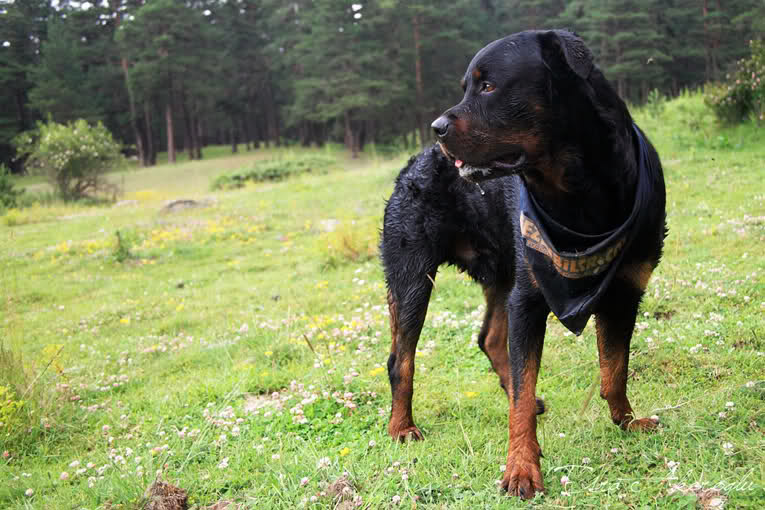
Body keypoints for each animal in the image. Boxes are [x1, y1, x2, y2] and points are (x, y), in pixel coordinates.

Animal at [380, 29, 666, 499]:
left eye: (489, 86)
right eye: (467, 87)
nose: (437, 128)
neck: (579, 196)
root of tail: (412, 162)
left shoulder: (626, 290)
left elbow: (615, 368)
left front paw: (625, 421)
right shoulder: (530, 298)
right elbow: (523, 389)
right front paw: (521, 468)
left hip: (503, 271)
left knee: (491, 340)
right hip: (412, 274)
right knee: (401, 359)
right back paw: (401, 427)